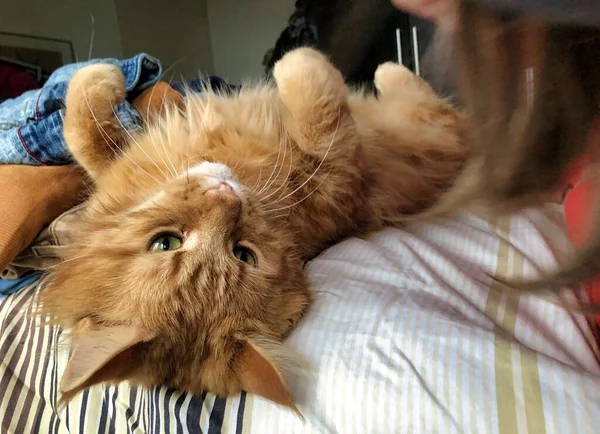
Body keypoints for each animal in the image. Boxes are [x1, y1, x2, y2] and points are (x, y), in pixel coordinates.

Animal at [39, 47, 466, 414]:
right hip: (430, 131)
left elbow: (85, 133)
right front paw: (297, 62)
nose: (227, 194)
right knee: (438, 108)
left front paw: (99, 78)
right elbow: (323, 113)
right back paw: (387, 70)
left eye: (164, 242)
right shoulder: (339, 185)